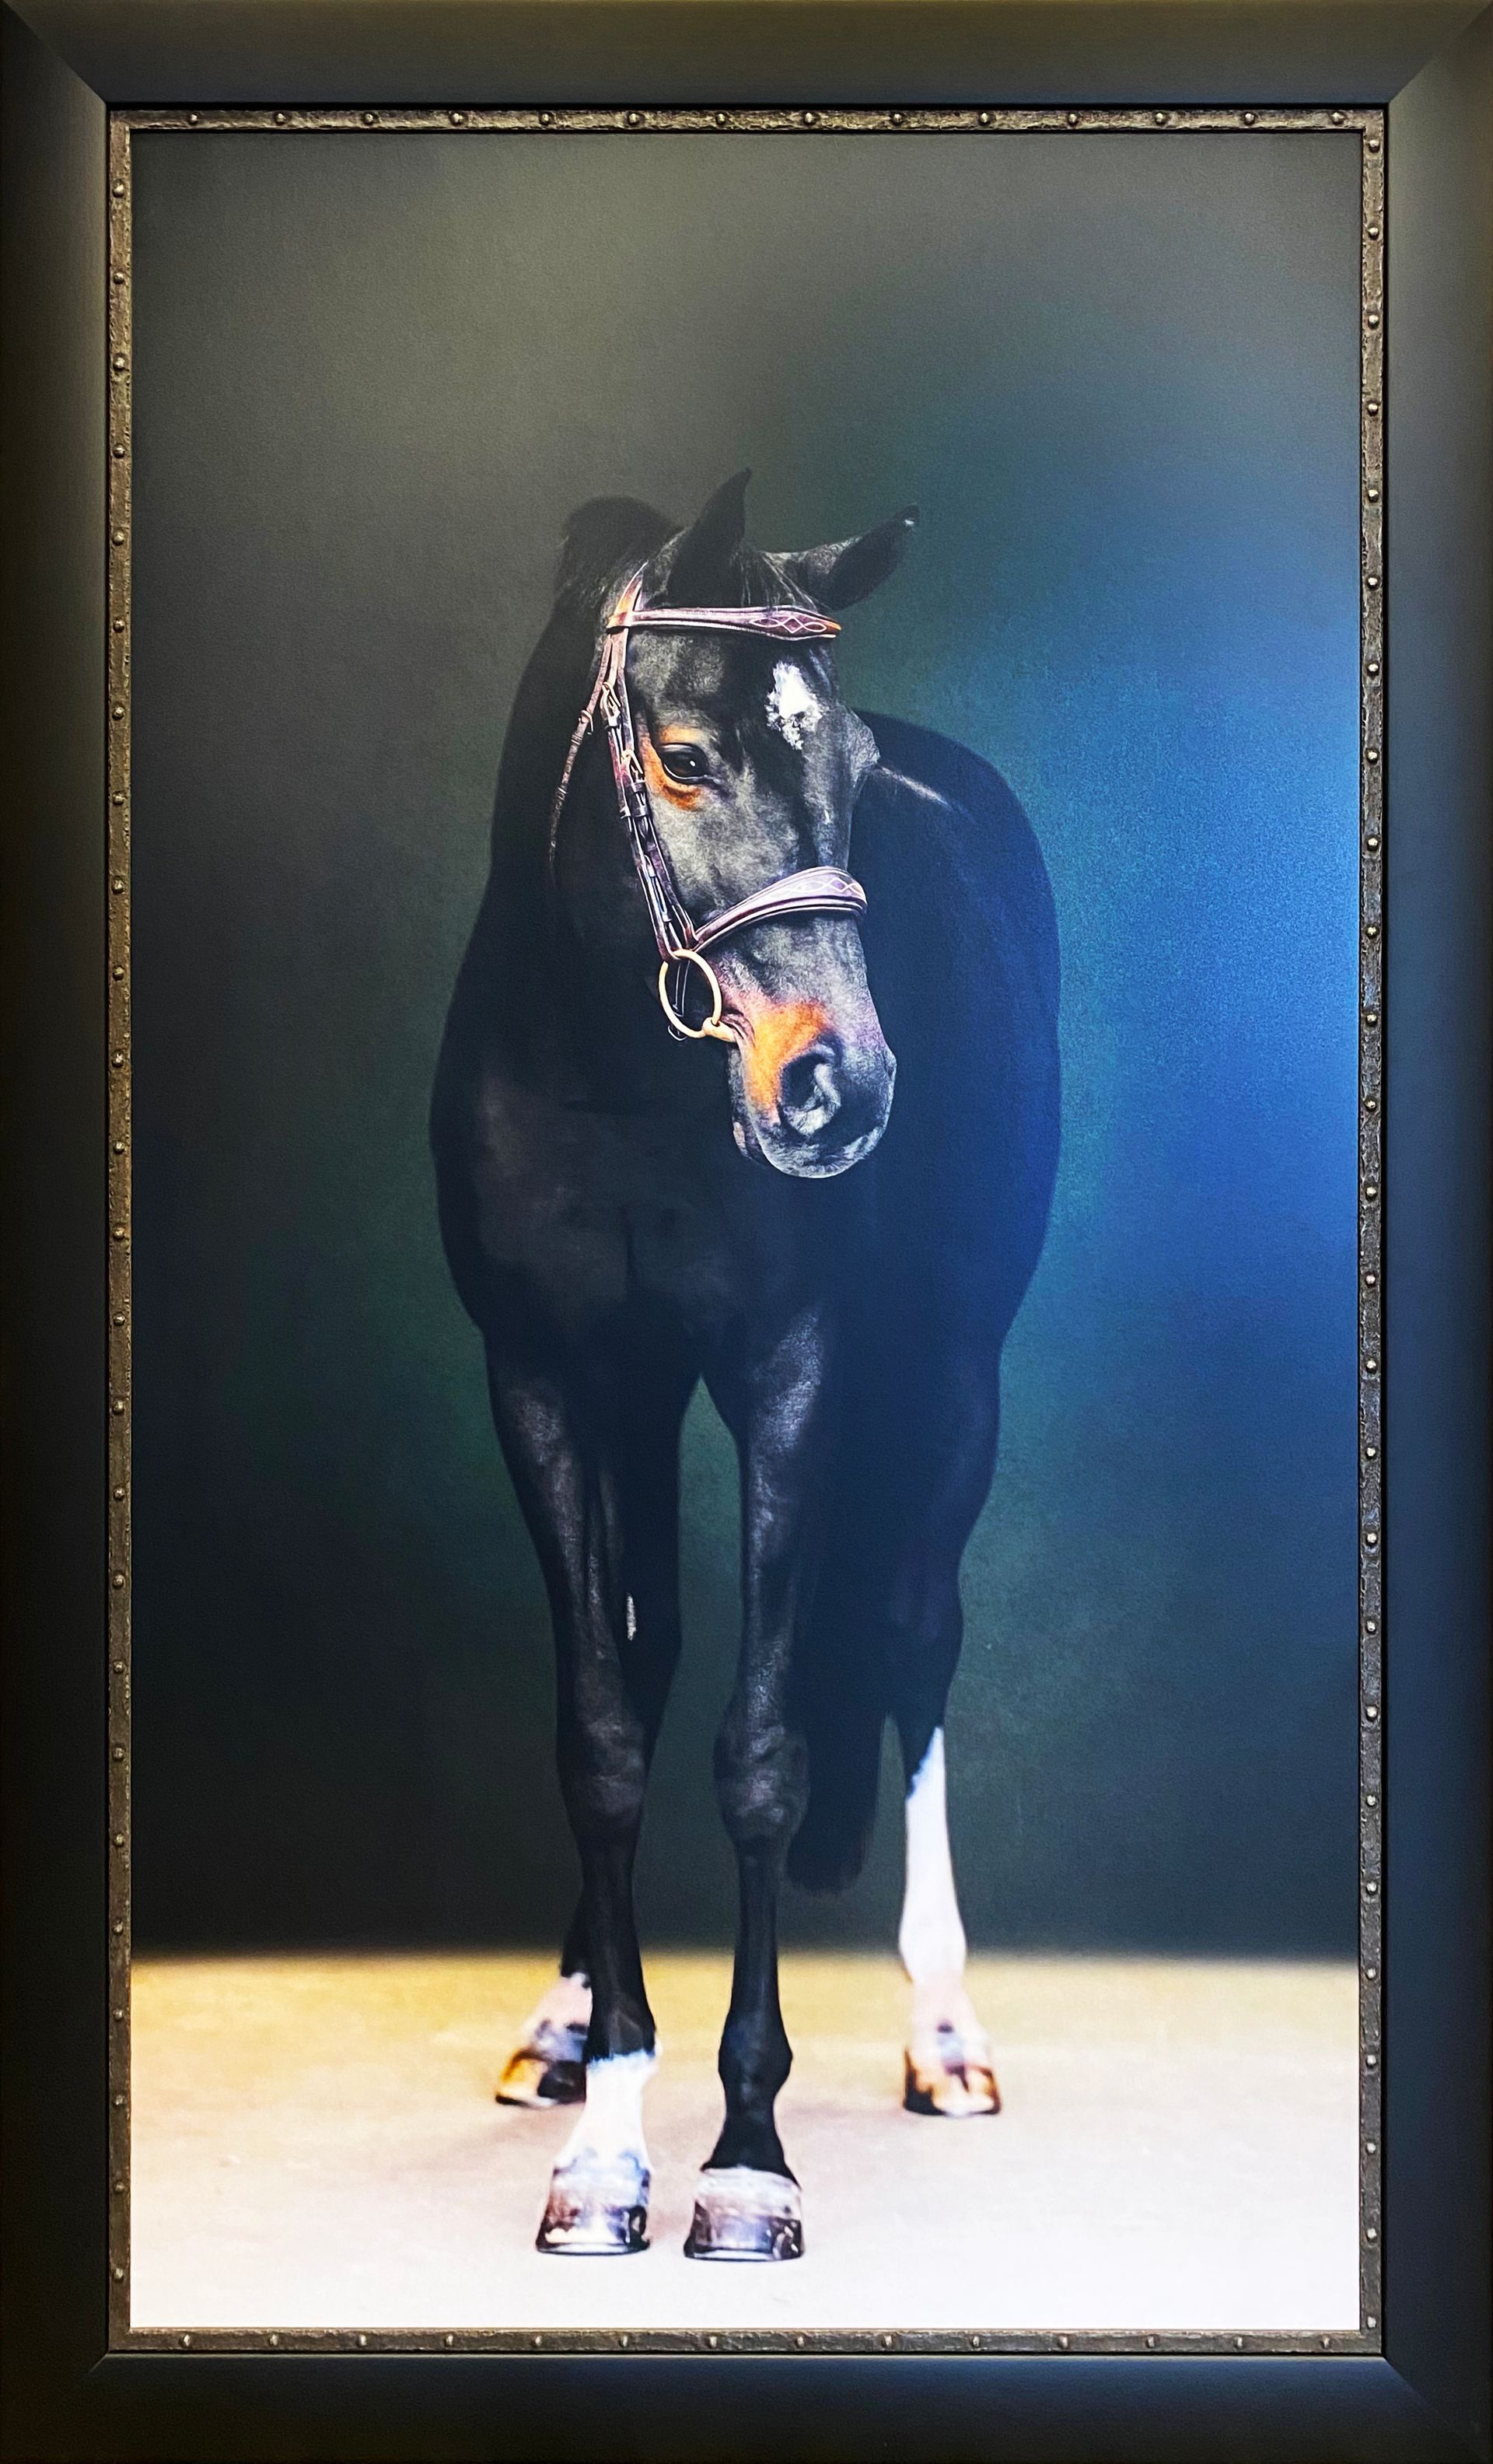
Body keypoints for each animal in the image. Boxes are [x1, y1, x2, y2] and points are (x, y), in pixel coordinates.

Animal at [431, 471, 1060, 2262]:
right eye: (687, 755)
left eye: (840, 766)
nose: (838, 1087)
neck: (613, 1073)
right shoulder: (551, 1385)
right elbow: (604, 1733)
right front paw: (604, 2138)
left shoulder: (793, 1371)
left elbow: (764, 1751)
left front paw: (745, 2160)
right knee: (648, 1671)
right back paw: (567, 2026)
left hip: (953, 1378)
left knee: (914, 1641)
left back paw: (945, 2038)